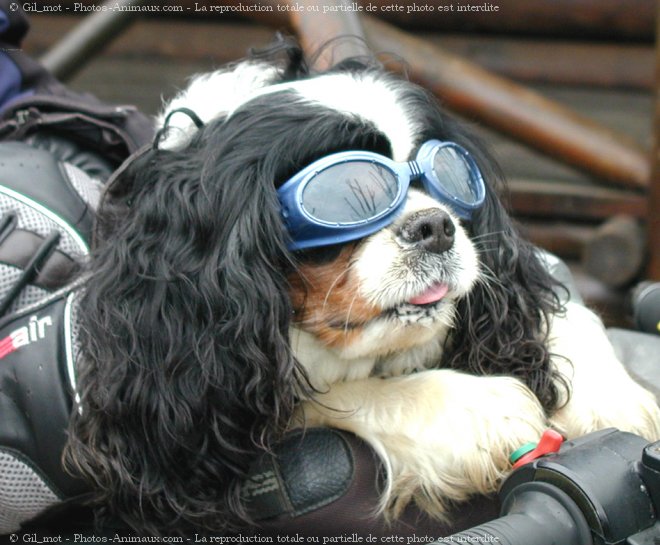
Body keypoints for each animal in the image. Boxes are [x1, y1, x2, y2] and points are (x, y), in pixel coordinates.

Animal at [64, 43, 660, 536]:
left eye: (450, 176)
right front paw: (477, 410)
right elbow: (324, 391)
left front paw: (612, 399)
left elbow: (561, 311)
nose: (436, 226)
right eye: (346, 195)